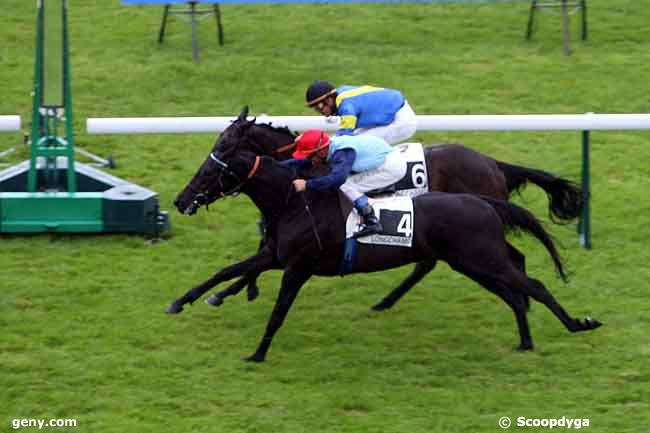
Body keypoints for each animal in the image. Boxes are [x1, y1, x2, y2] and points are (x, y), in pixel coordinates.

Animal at [167, 144, 596, 362]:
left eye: (210, 171)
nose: (181, 200)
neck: (294, 201)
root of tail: (484, 200)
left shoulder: (298, 267)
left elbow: (277, 312)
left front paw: (257, 354)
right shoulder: (275, 255)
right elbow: (226, 271)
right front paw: (182, 301)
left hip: (481, 259)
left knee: (533, 285)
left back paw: (578, 324)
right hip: (474, 262)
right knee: (515, 291)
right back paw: (525, 341)